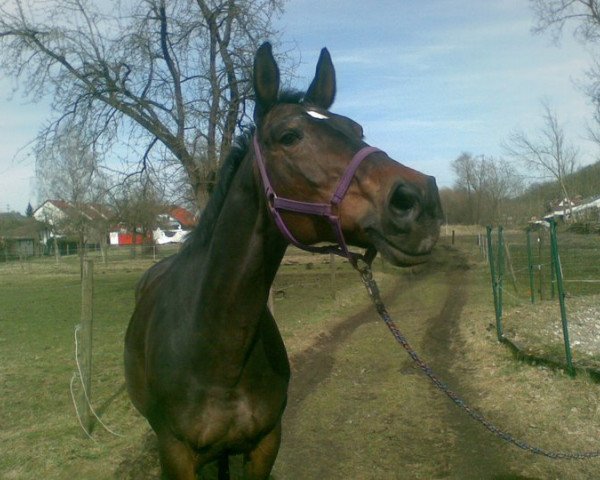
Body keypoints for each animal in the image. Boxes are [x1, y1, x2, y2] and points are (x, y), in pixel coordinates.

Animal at [124, 43, 442, 478]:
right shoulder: (175, 455)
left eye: (357, 130)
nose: (421, 199)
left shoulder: (265, 444)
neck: (216, 351)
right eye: (289, 136)